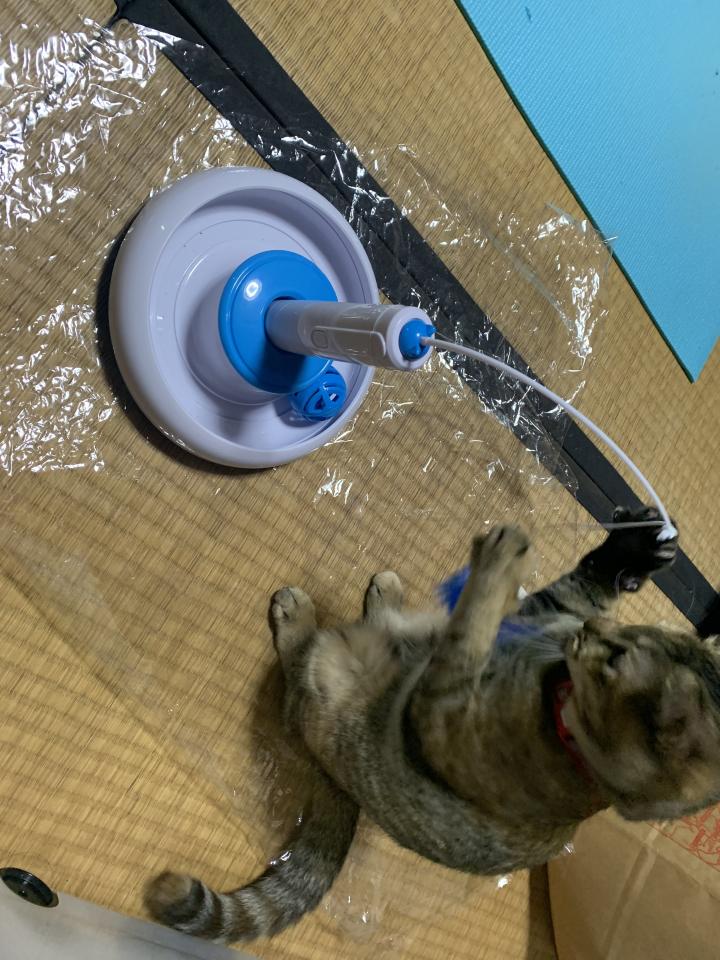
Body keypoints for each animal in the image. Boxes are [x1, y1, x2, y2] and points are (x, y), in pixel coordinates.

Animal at [145, 506, 720, 943]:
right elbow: (578, 585)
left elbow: (471, 625)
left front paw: (497, 563)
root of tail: (342, 784)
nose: (590, 631)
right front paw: (636, 548)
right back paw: (386, 595)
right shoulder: (541, 614)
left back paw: (299, 615)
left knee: (298, 671)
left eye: (618, 659)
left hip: (324, 677)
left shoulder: (438, 709)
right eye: (635, 633)